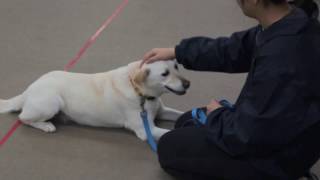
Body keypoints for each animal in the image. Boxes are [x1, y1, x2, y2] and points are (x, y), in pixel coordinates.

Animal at [0, 60, 190, 141]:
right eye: (165, 73)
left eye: (176, 67)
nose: (188, 84)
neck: (140, 92)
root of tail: (28, 90)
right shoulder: (146, 131)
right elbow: (169, 132)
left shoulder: (162, 111)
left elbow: (181, 114)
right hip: (52, 103)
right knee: (22, 118)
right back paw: (46, 126)